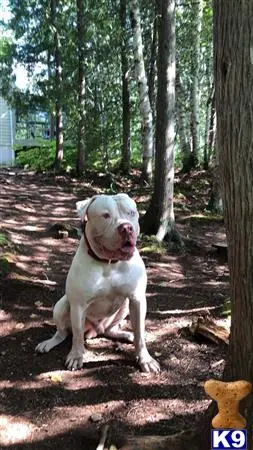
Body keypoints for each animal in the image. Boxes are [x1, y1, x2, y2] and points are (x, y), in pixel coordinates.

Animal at [35, 193, 159, 372]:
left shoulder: (137, 300)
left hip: (124, 307)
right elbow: (77, 335)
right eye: (105, 215)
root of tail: (95, 330)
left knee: (110, 330)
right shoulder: (78, 305)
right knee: (63, 333)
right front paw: (76, 356)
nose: (126, 227)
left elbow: (140, 334)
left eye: (131, 213)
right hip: (61, 306)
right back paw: (49, 343)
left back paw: (125, 334)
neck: (110, 262)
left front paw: (145, 359)